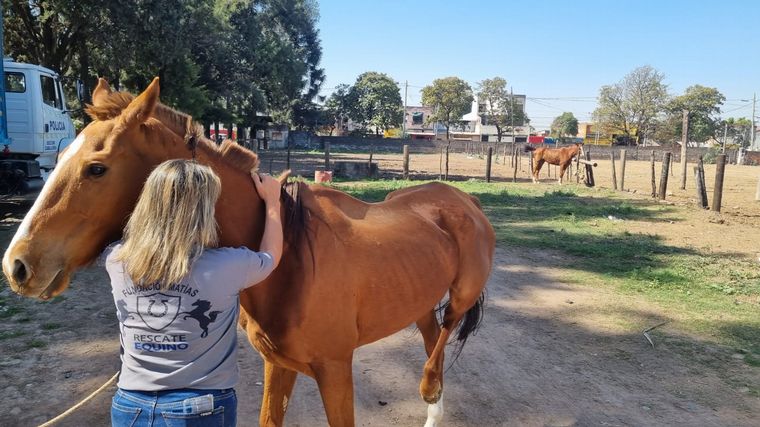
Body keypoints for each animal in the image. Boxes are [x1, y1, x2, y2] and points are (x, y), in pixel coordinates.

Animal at [2, 78, 495, 427]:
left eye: (96, 168)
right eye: (60, 156)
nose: (18, 265)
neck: (289, 258)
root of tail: (462, 199)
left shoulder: (335, 370)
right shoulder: (278, 365)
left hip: (461, 295)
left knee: (446, 332)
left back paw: (429, 391)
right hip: (418, 300)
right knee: (432, 335)